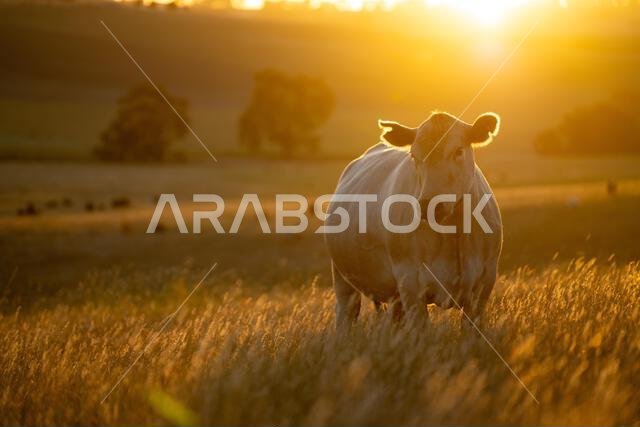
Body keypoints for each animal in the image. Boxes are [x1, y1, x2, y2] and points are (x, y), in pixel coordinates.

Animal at [324, 111, 503, 330]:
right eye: (414, 156)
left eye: (458, 151)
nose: (429, 204)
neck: (453, 231)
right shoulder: (411, 285)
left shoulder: (483, 285)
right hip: (343, 280)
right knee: (346, 315)